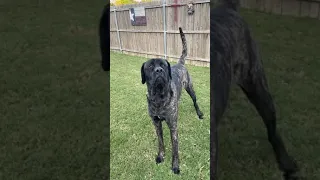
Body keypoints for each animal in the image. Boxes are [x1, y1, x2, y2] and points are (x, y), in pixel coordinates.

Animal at [140, 27, 202, 174]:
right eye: (150, 67)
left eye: (163, 65)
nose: (159, 70)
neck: (159, 98)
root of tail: (180, 63)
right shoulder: (156, 123)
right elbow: (161, 142)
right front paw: (161, 156)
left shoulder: (173, 126)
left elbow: (175, 148)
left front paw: (175, 166)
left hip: (190, 89)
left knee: (195, 101)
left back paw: (199, 113)